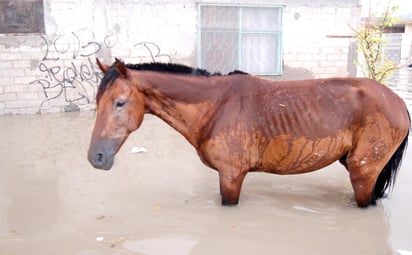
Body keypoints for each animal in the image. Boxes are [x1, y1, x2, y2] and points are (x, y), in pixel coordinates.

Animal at [87, 59, 408, 207]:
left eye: (120, 102)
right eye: (97, 101)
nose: (96, 158)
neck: (215, 106)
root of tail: (398, 102)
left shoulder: (231, 175)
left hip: (363, 172)